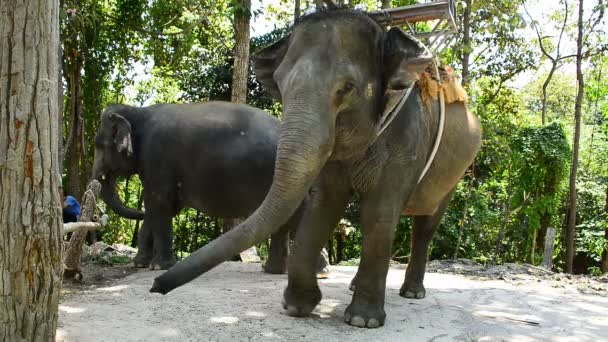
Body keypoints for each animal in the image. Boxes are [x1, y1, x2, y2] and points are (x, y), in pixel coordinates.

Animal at [91, 101, 326, 272]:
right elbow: (162, 206)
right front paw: (140, 264)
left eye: (99, 145)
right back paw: (274, 271)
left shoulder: (157, 157)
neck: (138, 111)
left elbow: (158, 202)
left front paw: (159, 267)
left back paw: (317, 271)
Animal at [151, 9, 480, 330]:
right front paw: (297, 307)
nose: (155, 286)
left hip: (456, 171)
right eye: (280, 85)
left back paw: (411, 292)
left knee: (425, 224)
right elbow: (324, 205)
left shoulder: (406, 139)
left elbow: (380, 212)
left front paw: (363, 321)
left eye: (347, 88)